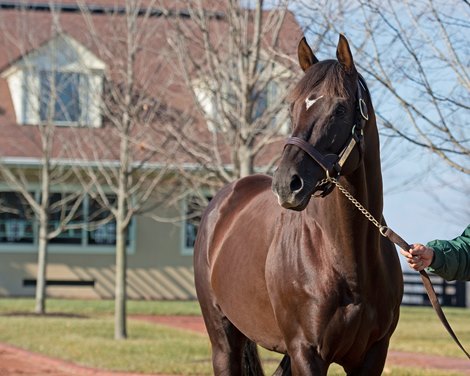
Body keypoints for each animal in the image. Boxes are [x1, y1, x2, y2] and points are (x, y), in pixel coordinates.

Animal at [194, 34, 404, 374]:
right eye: (292, 106)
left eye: (340, 108)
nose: (286, 184)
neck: (347, 260)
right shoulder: (306, 352)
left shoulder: (373, 354)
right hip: (224, 342)